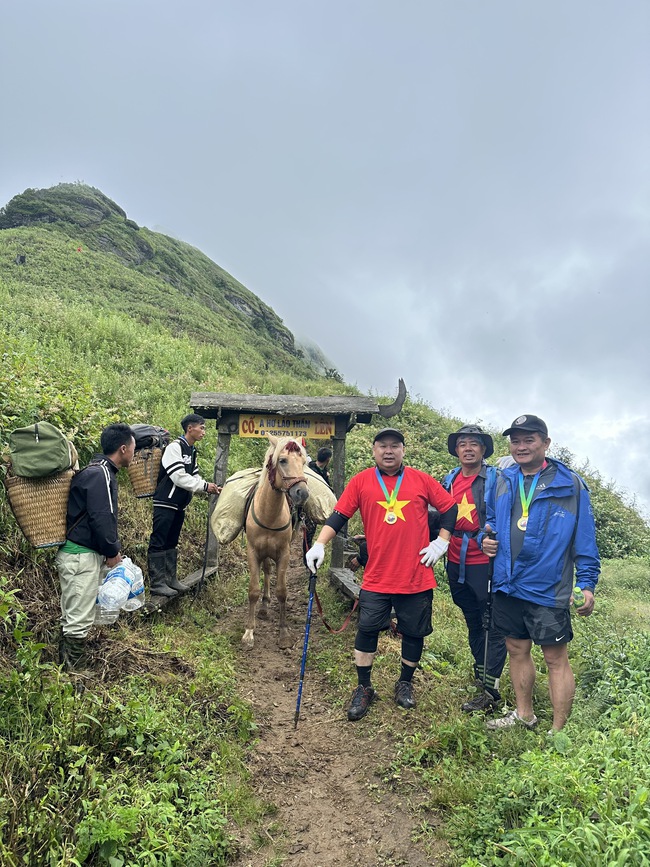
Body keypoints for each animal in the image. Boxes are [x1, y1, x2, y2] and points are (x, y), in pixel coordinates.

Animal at [242, 434, 310, 652]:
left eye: (303, 462)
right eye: (283, 460)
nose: (302, 493)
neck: (269, 515)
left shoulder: (284, 553)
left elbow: (282, 591)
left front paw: (284, 633)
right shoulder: (253, 552)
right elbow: (253, 590)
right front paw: (249, 633)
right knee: (266, 570)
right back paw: (263, 607)